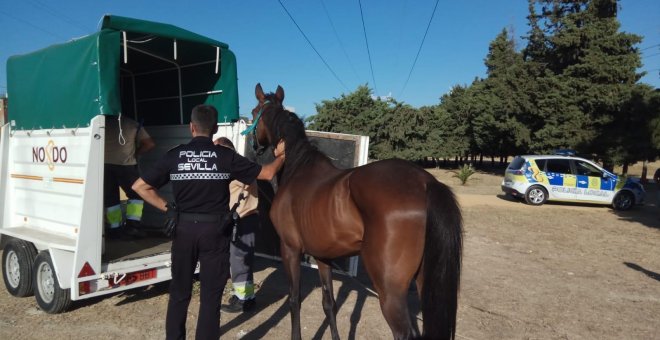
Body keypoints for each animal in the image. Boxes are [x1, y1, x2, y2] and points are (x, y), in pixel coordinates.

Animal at [248, 83, 464, 340]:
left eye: (253, 112)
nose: (254, 146)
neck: (299, 169)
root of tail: (425, 182)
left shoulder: (290, 249)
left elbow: (294, 300)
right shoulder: (323, 256)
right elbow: (329, 303)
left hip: (390, 292)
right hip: (424, 281)